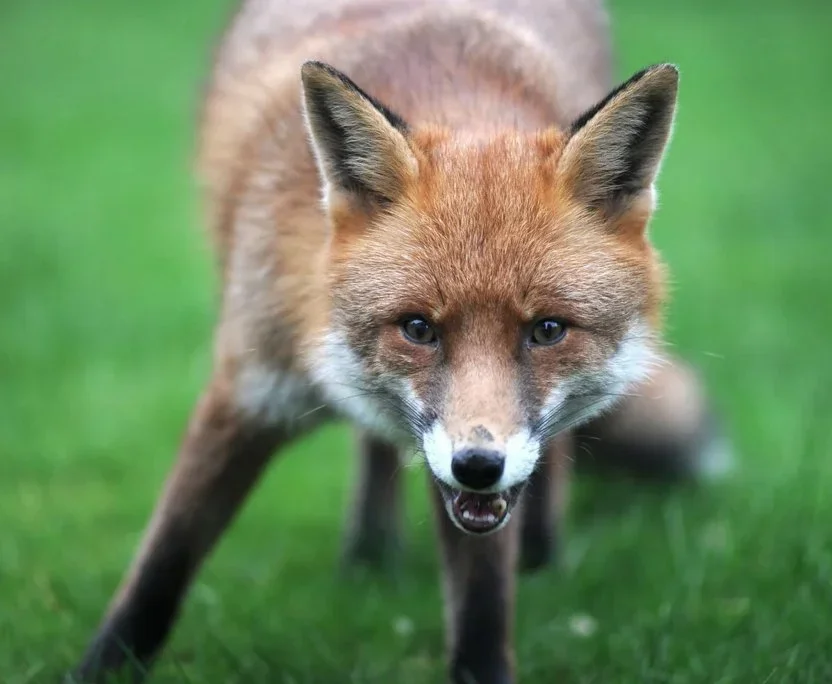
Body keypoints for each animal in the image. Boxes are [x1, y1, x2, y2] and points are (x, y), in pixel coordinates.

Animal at [70, 0, 731, 682]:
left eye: (547, 330)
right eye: (418, 328)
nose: (477, 465)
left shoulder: (484, 500)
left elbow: (481, 611)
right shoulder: (248, 386)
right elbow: (164, 560)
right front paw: (104, 666)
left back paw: (539, 555)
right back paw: (369, 553)